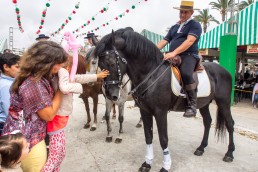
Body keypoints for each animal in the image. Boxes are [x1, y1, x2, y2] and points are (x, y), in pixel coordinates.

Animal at [95, 27, 236, 171]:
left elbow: (163, 139)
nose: (109, 94)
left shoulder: (160, 112)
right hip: (204, 104)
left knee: (230, 124)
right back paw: (201, 148)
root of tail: (225, 71)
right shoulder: (145, 111)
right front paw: (147, 163)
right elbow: (148, 136)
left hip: (223, 102)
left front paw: (165, 166)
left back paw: (229, 154)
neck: (150, 74)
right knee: (207, 122)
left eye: (112, 63)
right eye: (99, 65)